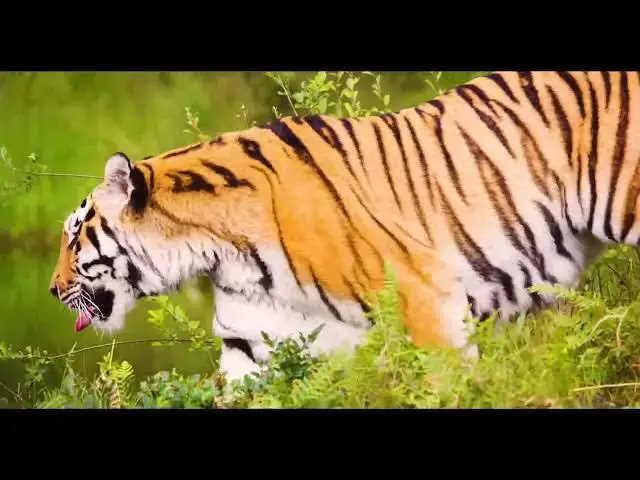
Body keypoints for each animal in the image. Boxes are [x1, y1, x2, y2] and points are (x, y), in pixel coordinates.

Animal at [49, 71, 639, 383]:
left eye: (75, 237)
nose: (53, 290)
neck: (221, 252)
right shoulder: (249, 339)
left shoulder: (425, 295)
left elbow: (448, 384)